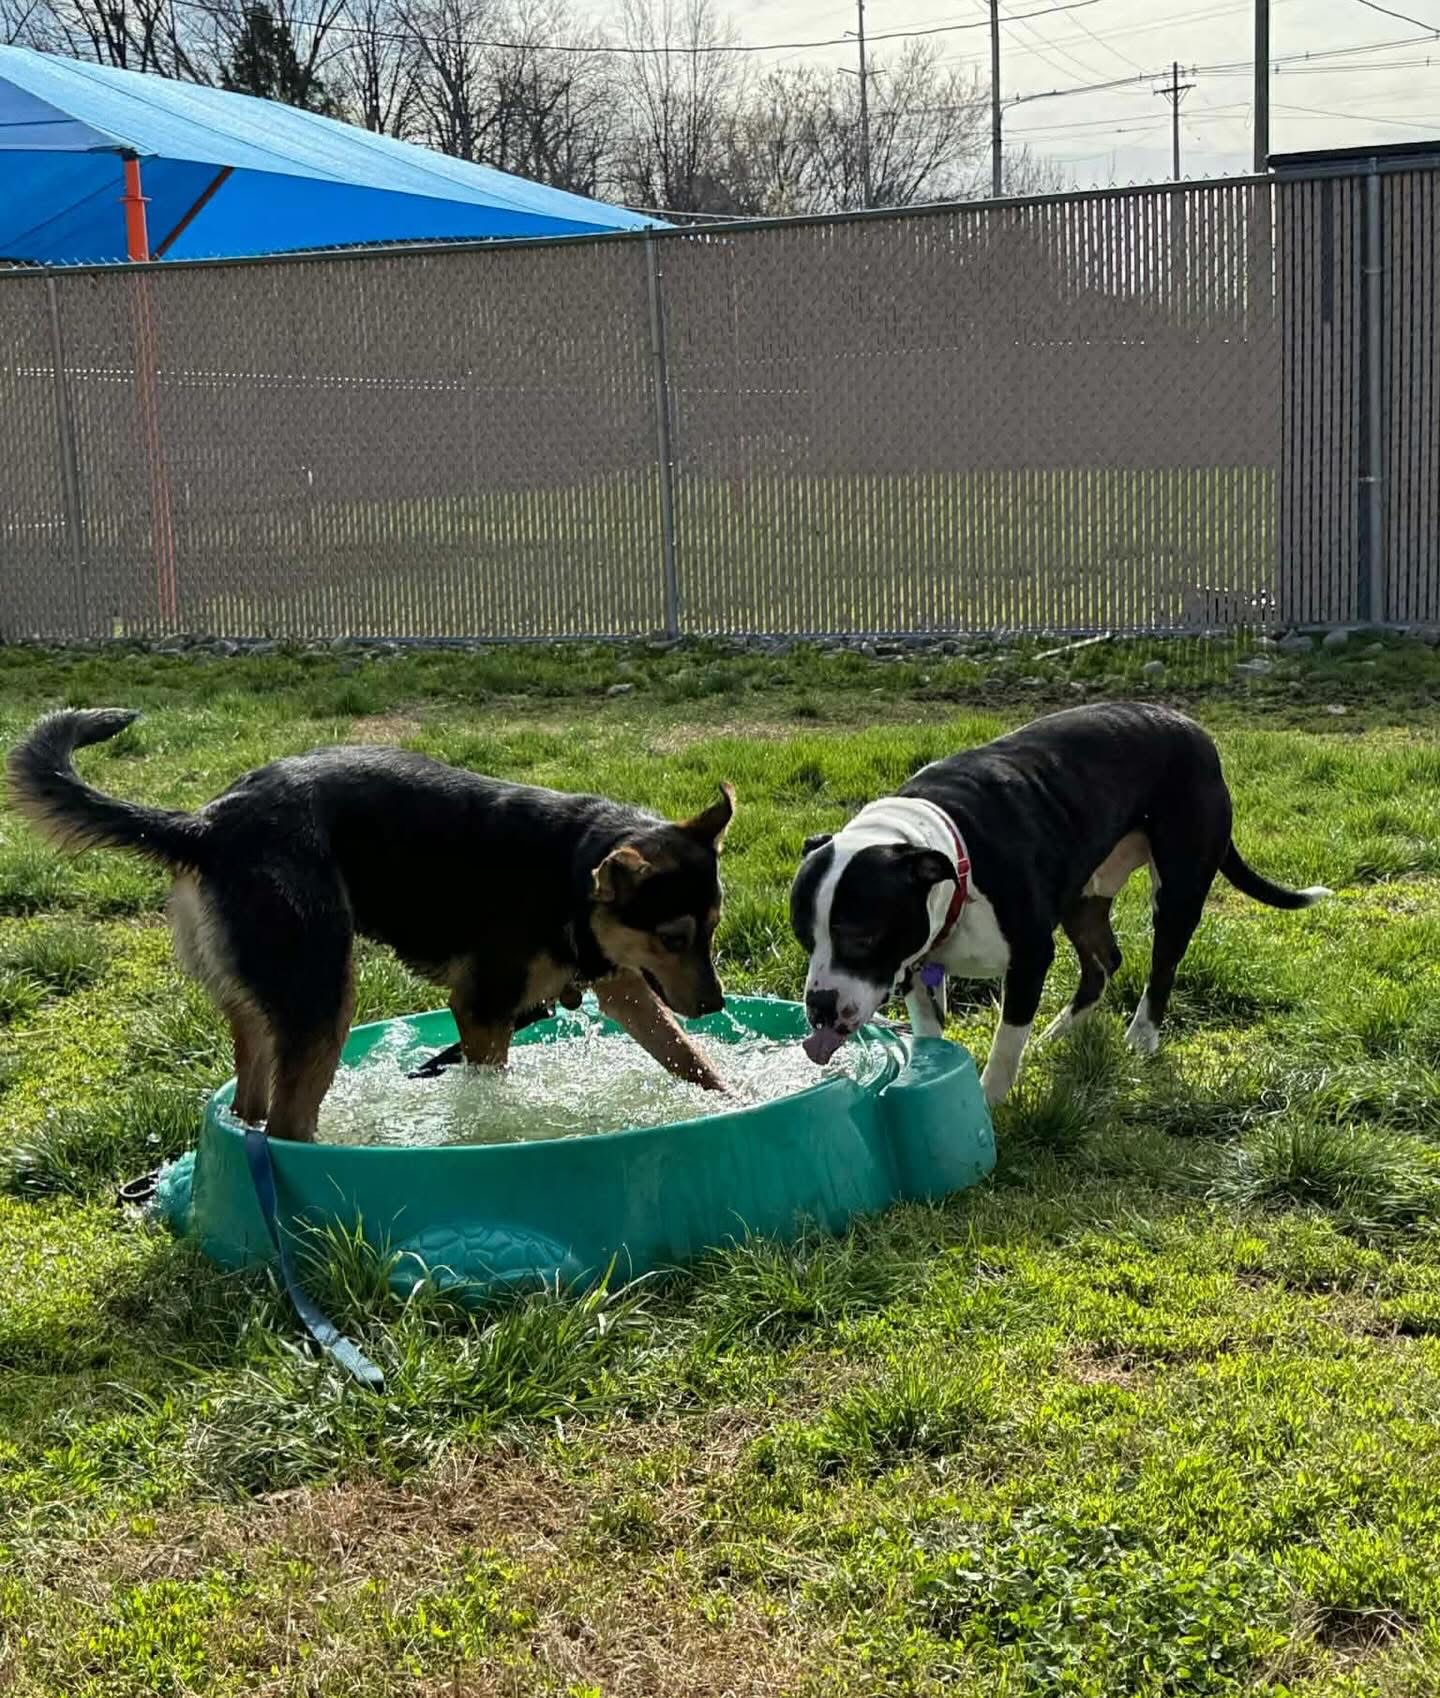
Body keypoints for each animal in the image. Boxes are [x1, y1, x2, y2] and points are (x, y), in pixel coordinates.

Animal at [9, 709, 735, 1140]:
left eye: (712, 931)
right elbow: (491, 1094)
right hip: (322, 990)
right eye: (672, 937)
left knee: (253, 1100)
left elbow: (689, 1057)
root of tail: (206, 826)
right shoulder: (482, 1010)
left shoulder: (623, 987)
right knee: (288, 1122)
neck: (574, 875)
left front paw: (732, 1097)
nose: (715, 1004)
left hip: (265, 999)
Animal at [790, 702, 1328, 1105]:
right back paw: (1060, 1032)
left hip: (1177, 891)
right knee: (1104, 962)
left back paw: (1141, 1036)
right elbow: (928, 1027)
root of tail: (1193, 729)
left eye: (862, 936)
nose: (818, 1007)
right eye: (804, 940)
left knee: (1161, 966)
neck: (948, 852)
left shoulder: (1029, 959)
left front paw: (988, 1100)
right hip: (1083, 898)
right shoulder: (918, 961)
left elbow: (1006, 1045)